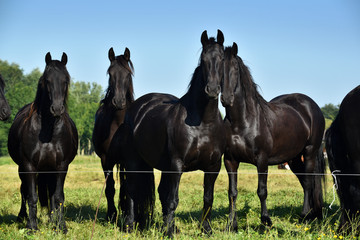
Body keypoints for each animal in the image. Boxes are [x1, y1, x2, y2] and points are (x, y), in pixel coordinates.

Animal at [8, 52, 77, 232]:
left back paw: (53, 220)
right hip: (22, 169)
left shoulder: (61, 166)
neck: (48, 131)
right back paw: (22, 217)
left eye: (65, 80)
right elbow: (31, 196)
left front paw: (61, 226)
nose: (57, 109)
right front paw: (32, 226)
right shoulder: (28, 165)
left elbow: (58, 196)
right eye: (47, 80)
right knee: (23, 190)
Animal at [108, 29, 226, 236]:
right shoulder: (176, 165)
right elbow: (173, 199)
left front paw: (206, 230)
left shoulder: (213, 167)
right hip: (134, 161)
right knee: (131, 190)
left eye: (221, 58)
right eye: (203, 59)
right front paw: (169, 232)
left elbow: (208, 198)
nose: (212, 89)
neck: (203, 122)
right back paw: (130, 225)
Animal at [221, 43, 324, 231]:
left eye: (235, 68)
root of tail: (311, 106)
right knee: (305, 182)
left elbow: (262, 190)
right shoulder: (230, 160)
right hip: (294, 158)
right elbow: (232, 193)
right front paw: (231, 225)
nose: (226, 98)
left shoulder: (262, 160)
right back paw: (311, 214)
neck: (243, 122)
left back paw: (305, 216)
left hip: (309, 153)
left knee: (309, 183)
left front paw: (265, 221)